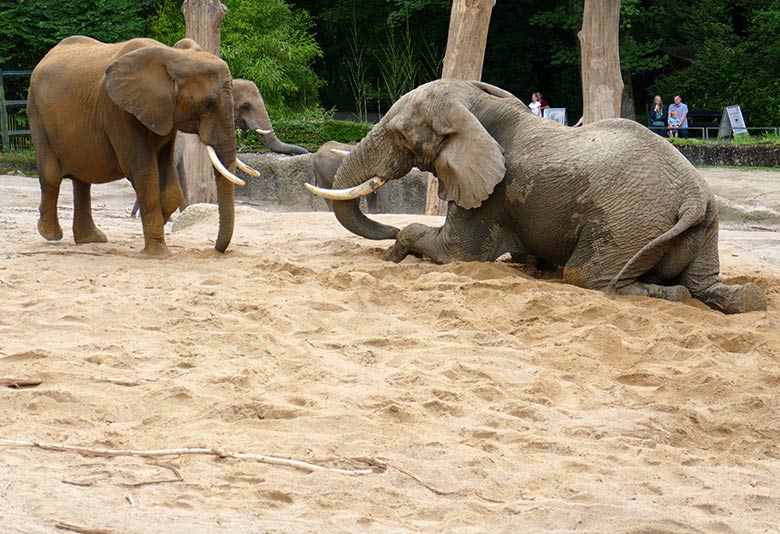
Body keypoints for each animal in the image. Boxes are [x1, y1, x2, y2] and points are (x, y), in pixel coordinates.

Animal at [27, 36, 256, 258]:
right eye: (207, 106)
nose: (218, 250)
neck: (173, 57)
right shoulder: (119, 112)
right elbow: (142, 171)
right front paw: (158, 253)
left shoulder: (165, 116)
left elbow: (169, 179)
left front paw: (160, 223)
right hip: (37, 115)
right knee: (52, 176)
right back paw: (51, 235)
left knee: (83, 180)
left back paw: (91, 239)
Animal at [306, 78, 768, 316]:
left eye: (401, 135)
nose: (387, 228)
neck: (478, 108)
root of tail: (693, 198)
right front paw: (529, 265)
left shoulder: (493, 193)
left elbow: (456, 253)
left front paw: (395, 253)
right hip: (707, 225)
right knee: (707, 284)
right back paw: (743, 298)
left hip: (625, 224)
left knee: (584, 276)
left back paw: (665, 296)